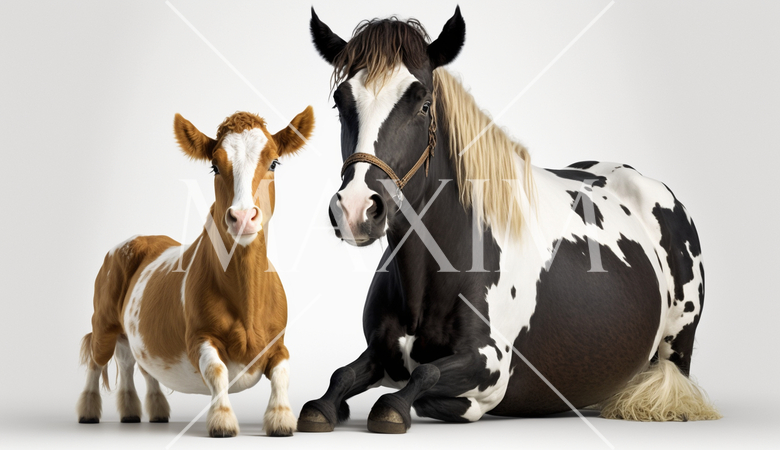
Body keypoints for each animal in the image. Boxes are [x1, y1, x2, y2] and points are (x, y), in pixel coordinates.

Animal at [76, 107, 314, 437]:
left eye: (274, 163)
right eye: (214, 167)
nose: (243, 217)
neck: (247, 300)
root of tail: (141, 239)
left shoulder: (277, 342)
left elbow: (282, 372)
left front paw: (280, 419)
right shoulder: (199, 338)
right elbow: (217, 371)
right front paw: (222, 420)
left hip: (135, 331)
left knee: (134, 361)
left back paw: (143, 411)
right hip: (104, 317)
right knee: (97, 360)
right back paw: (88, 410)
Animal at [298, 8, 720, 434]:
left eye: (423, 105)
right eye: (340, 104)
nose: (355, 209)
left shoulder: (489, 366)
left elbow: (424, 377)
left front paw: (395, 408)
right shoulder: (382, 352)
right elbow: (340, 377)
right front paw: (326, 408)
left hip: (677, 344)